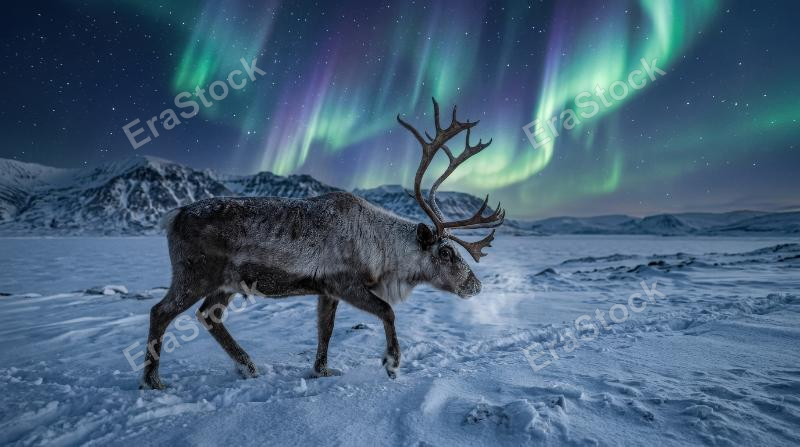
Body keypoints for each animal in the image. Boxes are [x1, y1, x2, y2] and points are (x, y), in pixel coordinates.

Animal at [141, 98, 505, 389]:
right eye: (445, 252)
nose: (475, 285)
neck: (383, 248)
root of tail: (174, 214)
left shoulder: (327, 290)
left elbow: (325, 330)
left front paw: (322, 371)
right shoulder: (347, 283)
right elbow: (387, 311)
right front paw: (392, 363)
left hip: (225, 283)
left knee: (209, 316)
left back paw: (248, 367)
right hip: (194, 274)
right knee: (161, 311)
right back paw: (153, 381)